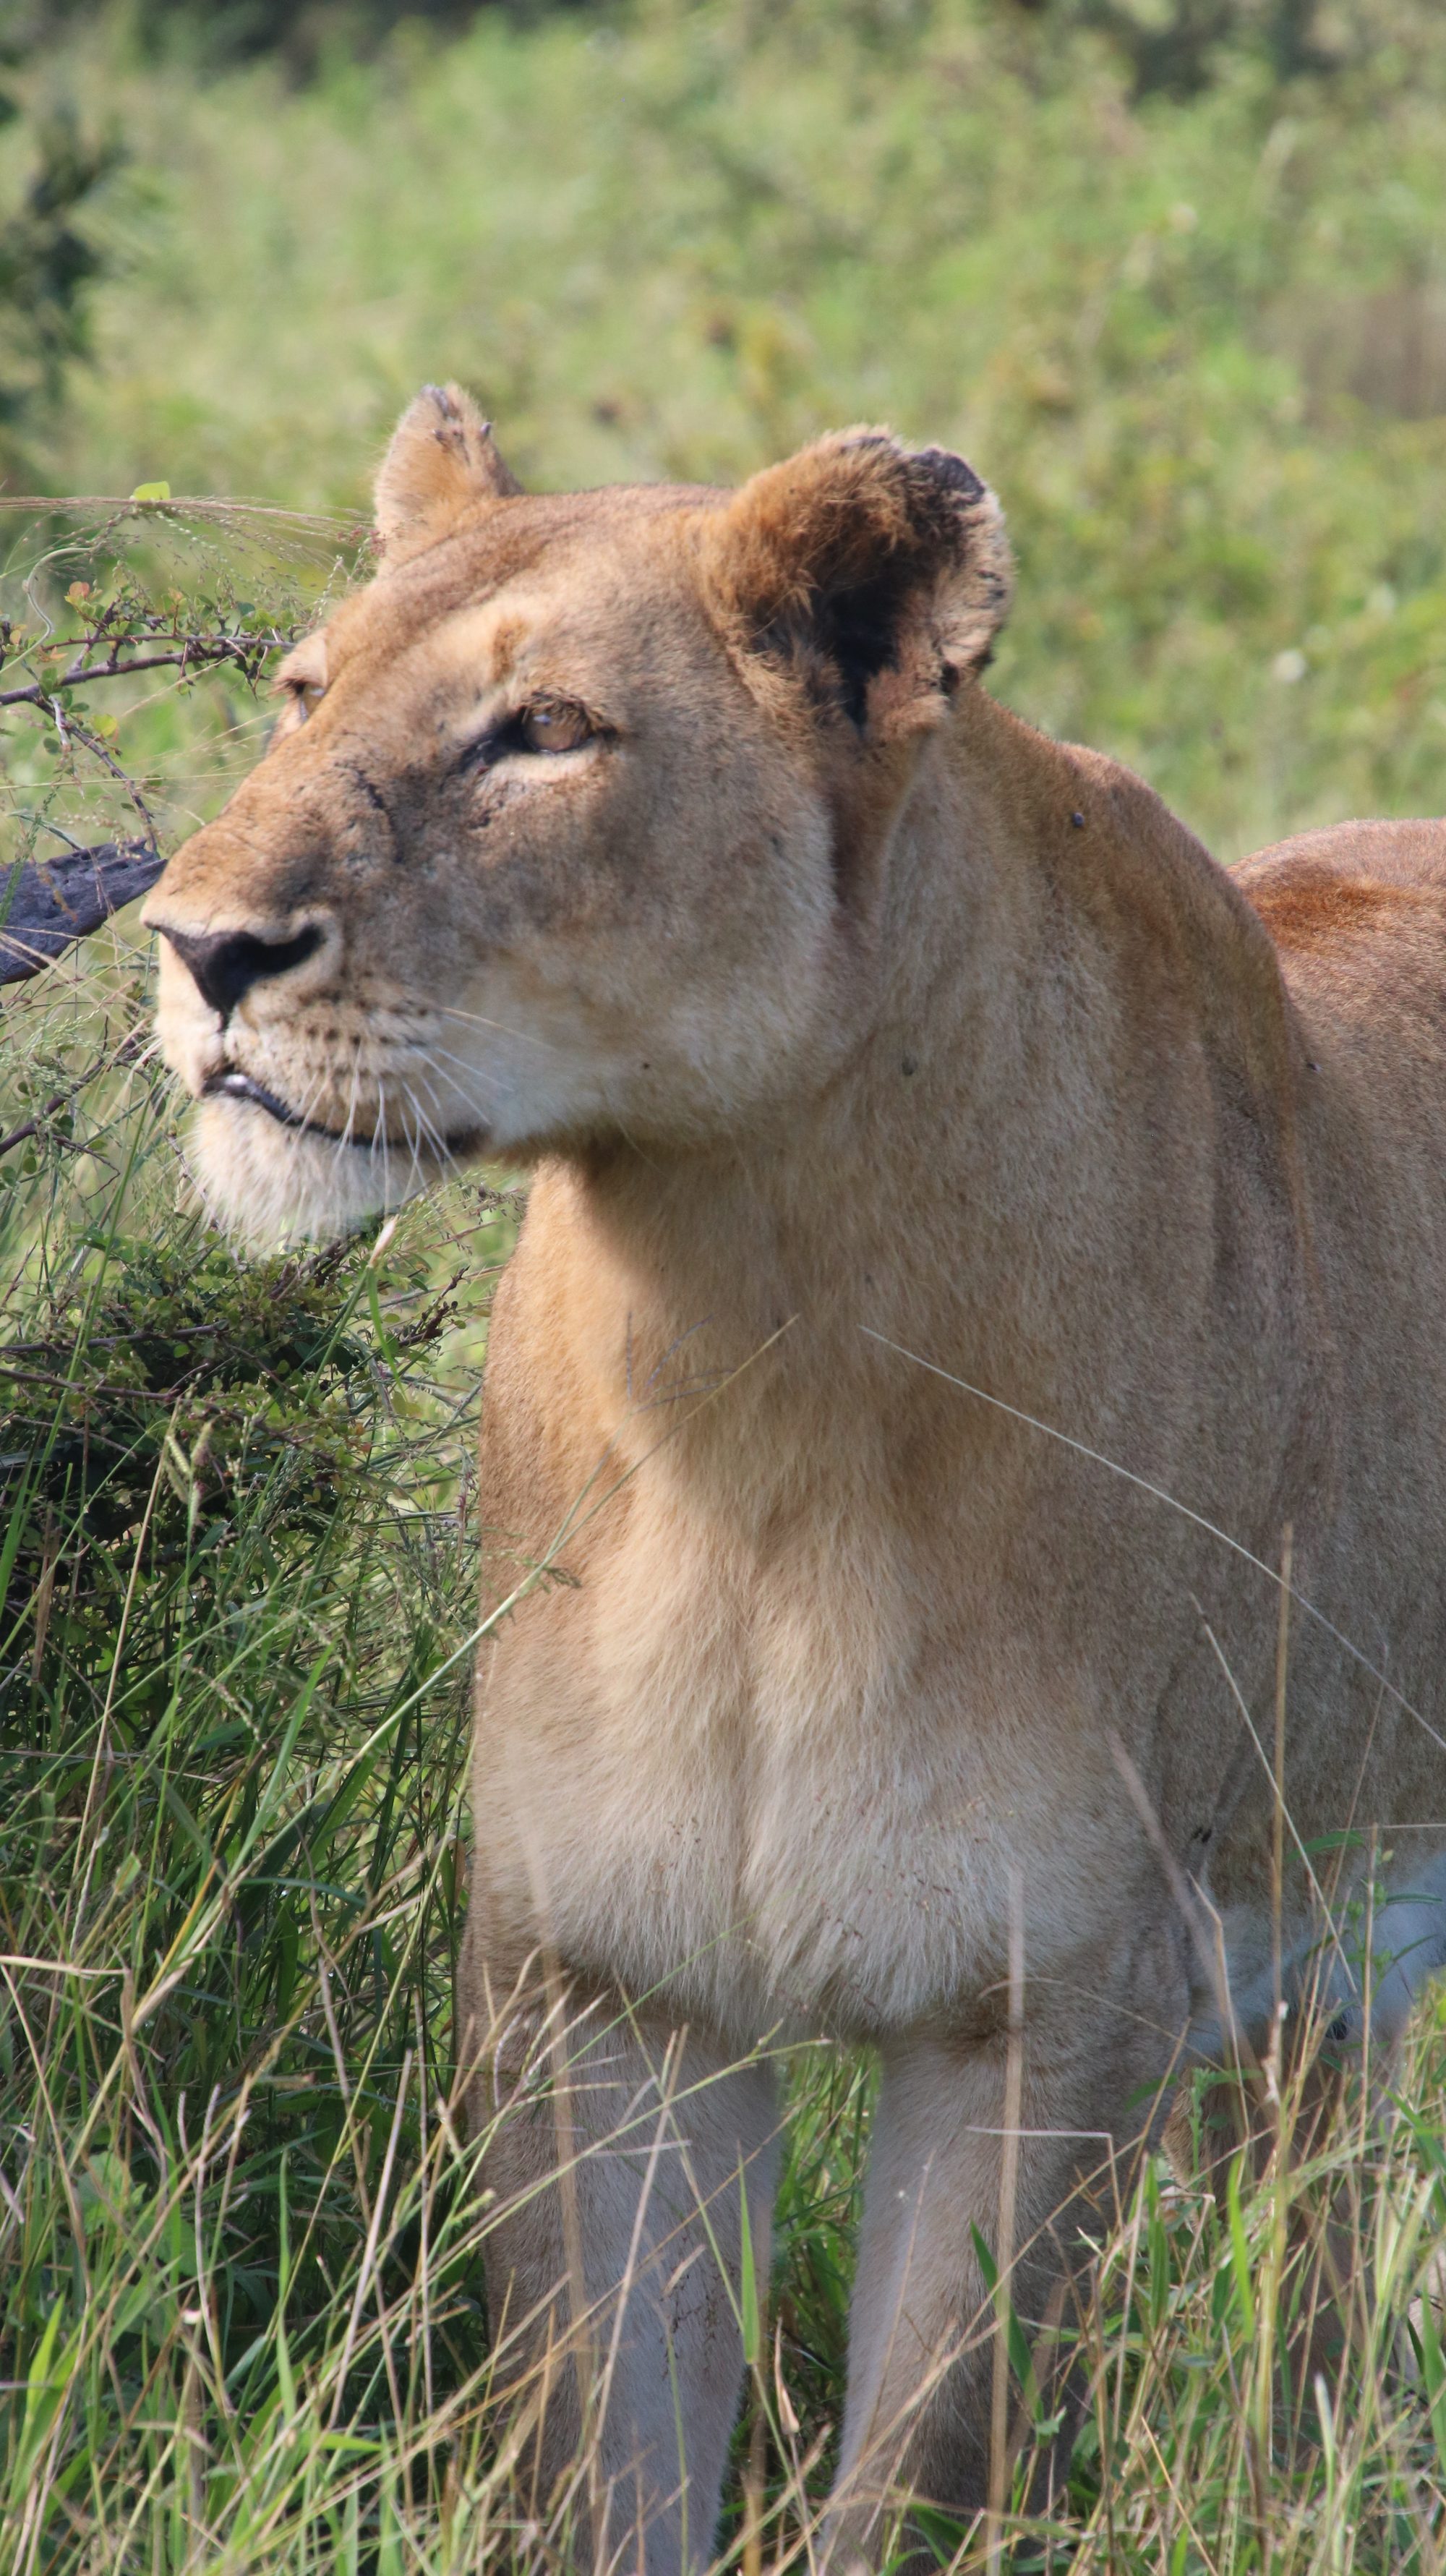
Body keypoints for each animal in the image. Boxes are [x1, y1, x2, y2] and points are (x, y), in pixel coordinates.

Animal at [145, 384, 1446, 2567]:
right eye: (301, 692)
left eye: (542, 731)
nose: (195, 949)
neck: (745, 1371)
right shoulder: (597, 1987)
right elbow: (601, 2467)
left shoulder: (1050, 2004)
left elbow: (914, 2479)